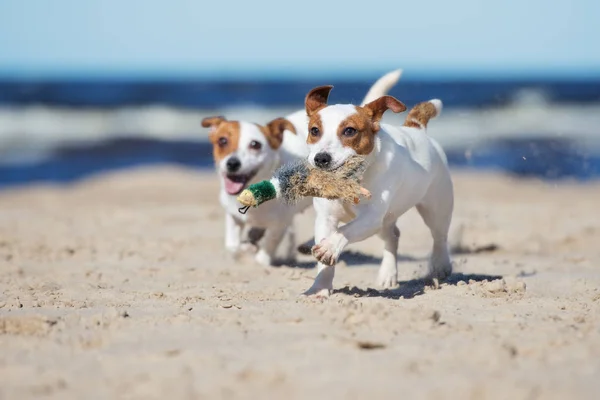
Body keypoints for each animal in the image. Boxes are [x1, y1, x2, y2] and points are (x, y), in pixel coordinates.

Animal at [202, 70, 404, 268]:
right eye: (222, 141)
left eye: (255, 145)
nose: (232, 163)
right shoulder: (233, 217)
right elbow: (232, 246)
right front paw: (244, 248)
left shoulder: (279, 225)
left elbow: (267, 248)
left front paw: (258, 258)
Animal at [302, 85, 452, 296]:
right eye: (314, 130)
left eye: (349, 130)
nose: (321, 158)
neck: (351, 180)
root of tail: (416, 128)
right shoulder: (326, 218)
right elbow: (325, 262)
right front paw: (319, 289)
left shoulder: (371, 218)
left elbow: (345, 230)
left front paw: (330, 247)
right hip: (385, 221)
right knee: (393, 236)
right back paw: (388, 274)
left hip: (435, 208)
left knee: (439, 236)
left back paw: (440, 265)